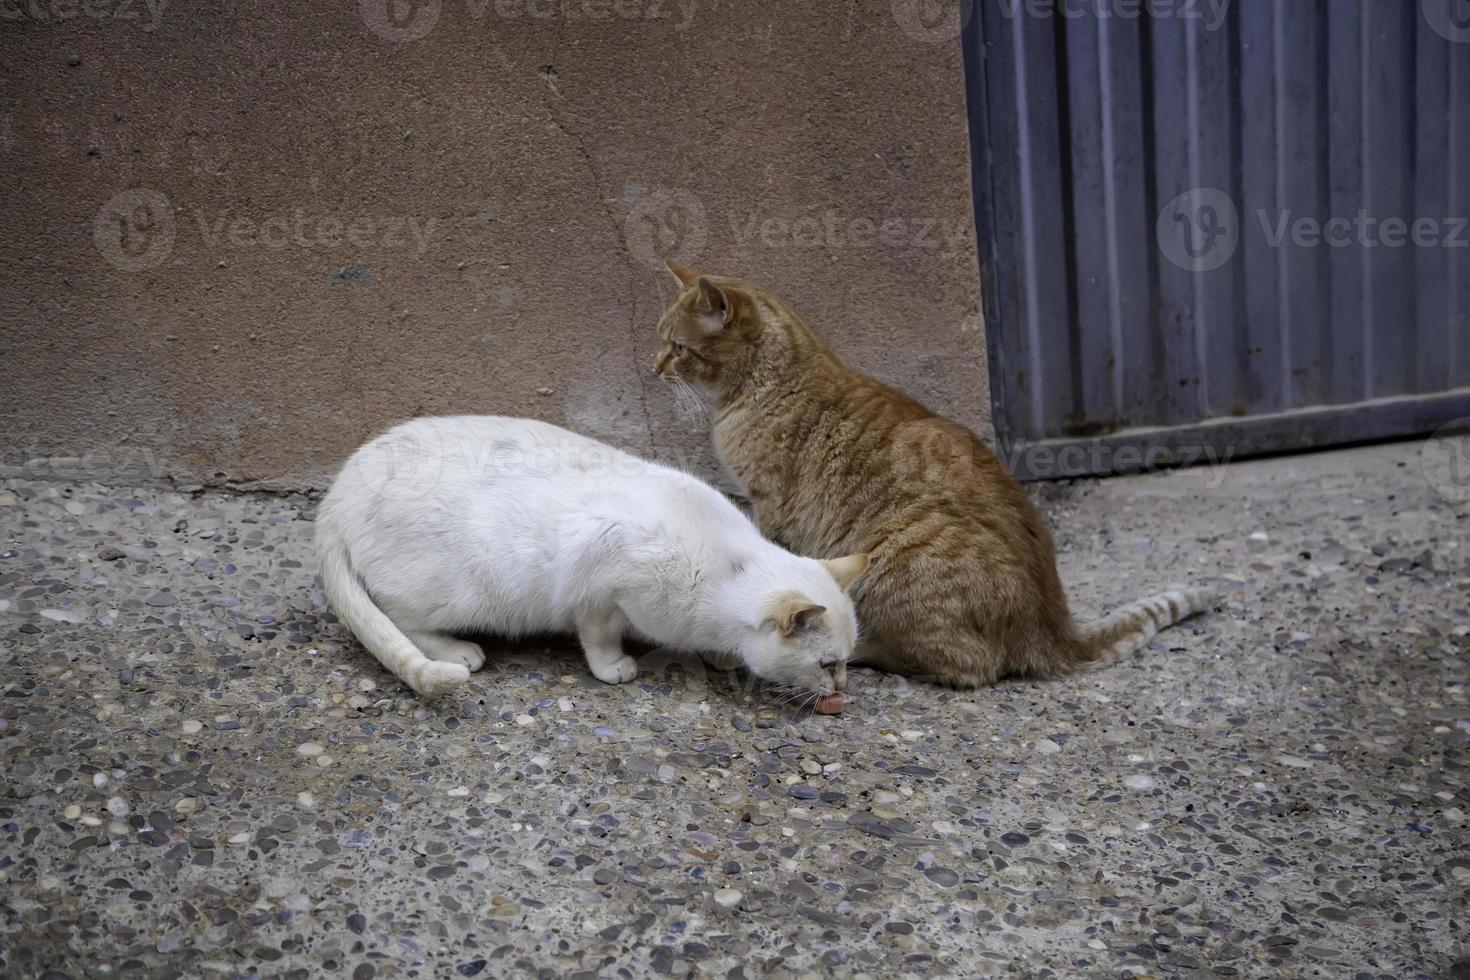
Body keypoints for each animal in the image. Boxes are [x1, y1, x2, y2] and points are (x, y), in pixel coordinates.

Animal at [316, 417, 864, 702]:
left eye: (845, 663)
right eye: (828, 664)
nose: (842, 688)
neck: (724, 571)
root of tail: (336, 494)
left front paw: (720, 655)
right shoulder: (602, 584)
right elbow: (599, 638)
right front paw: (614, 666)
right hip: (457, 593)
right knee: (401, 619)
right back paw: (456, 650)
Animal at [658, 262, 1217, 690]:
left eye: (679, 348)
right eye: (663, 343)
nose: (655, 366)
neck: (769, 384)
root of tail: (1053, 627)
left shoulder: (769, 503)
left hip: (898, 559)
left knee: (970, 668)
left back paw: (870, 650)